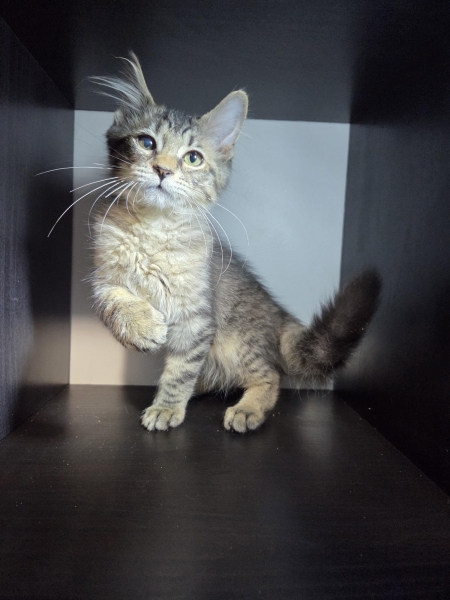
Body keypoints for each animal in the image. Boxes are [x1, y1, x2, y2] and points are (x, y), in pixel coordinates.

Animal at [89, 53, 381, 433]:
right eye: (147, 142)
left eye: (193, 157)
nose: (163, 170)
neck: (154, 227)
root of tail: (279, 317)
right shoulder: (103, 276)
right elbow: (112, 301)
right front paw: (141, 327)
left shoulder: (198, 316)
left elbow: (180, 369)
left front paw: (167, 407)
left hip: (237, 341)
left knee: (269, 376)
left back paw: (247, 409)